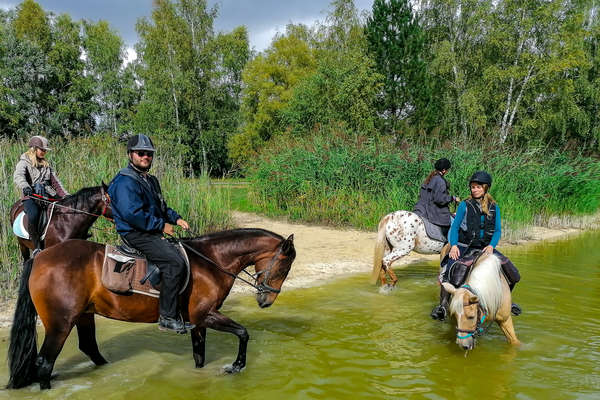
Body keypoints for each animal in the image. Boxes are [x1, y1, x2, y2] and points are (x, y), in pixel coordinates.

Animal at [5, 230, 294, 390]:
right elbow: (243, 333)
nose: (266, 301)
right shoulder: (206, 316)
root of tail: (41, 257)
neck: (211, 261)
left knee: (88, 347)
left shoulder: (198, 322)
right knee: (44, 364)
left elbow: (199, 356)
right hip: (60, 324)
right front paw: (236, 366)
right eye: (284, 266)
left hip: (84, 316)